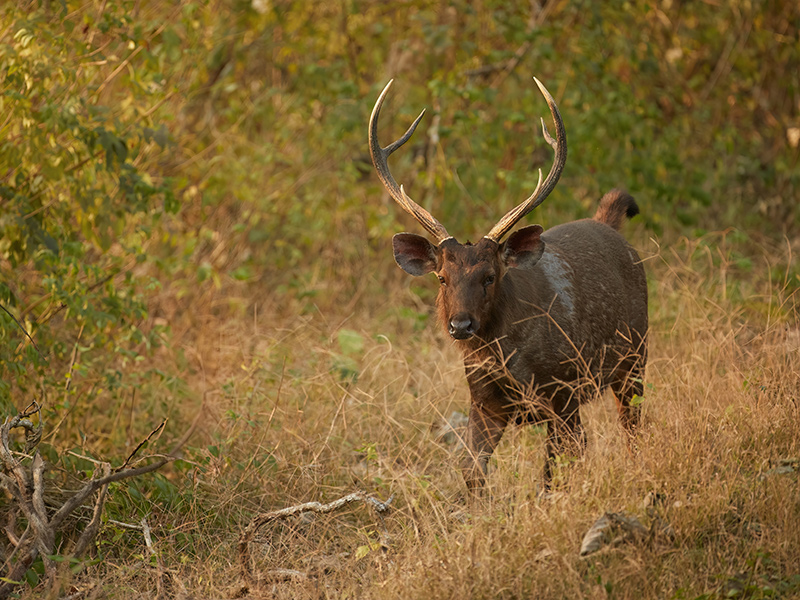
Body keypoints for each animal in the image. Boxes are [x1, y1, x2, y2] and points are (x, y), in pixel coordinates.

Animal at [372, 78, 648, 492]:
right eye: (441, 277)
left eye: (490, 275)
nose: (461, 324)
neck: (513, 362)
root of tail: (609, 223)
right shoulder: (483, 402)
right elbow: (472, 472)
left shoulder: (564, 393)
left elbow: (554, 471)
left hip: (636, 356)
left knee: (632, 428)